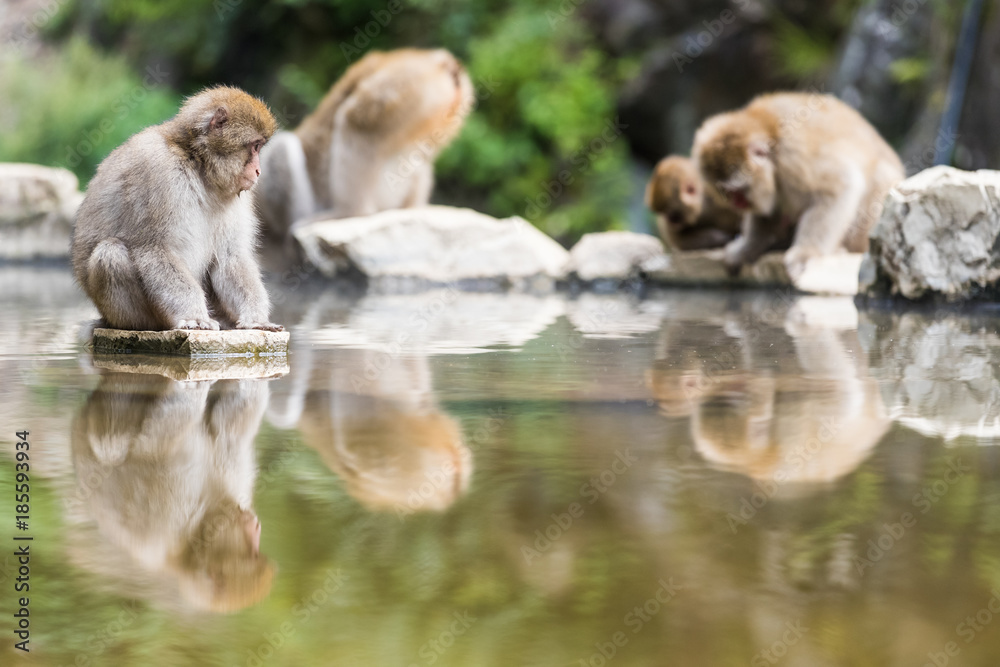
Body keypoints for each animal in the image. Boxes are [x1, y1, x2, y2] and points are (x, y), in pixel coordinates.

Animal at [73, 86, 282, 332]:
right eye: (255, 146)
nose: (258, 171)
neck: (198, 164)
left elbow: (231, 256)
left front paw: (256, 319)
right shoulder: (159, 173)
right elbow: (155, 249)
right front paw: (194, 316)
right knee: (110, 253)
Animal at [692, 91, 904, 276]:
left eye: (738, 191)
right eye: (727, 192)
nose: (738, 203)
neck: (770, 132)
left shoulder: (793, 155)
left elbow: (841, 184)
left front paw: (807, 252)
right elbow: (766, 215)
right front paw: (746, 249)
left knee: (879, 176)